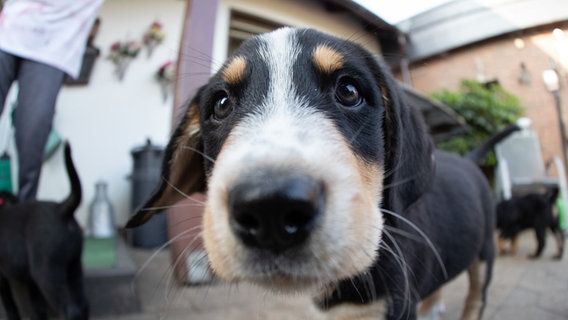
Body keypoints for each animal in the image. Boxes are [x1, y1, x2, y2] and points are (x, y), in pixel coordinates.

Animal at [0, 143, 87, 320]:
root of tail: (61, 209)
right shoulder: (27, 281)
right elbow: (38, 307)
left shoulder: (8, 279)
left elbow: (14, 306)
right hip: (74, 265)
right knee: (82, 305)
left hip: (46, 272)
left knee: (70, 310)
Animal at [125, 28, 506, 318]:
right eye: (221, 104)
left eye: (349, 91)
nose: (271, 208)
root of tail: (470, 159)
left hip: (485, 253)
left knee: (476, 297)